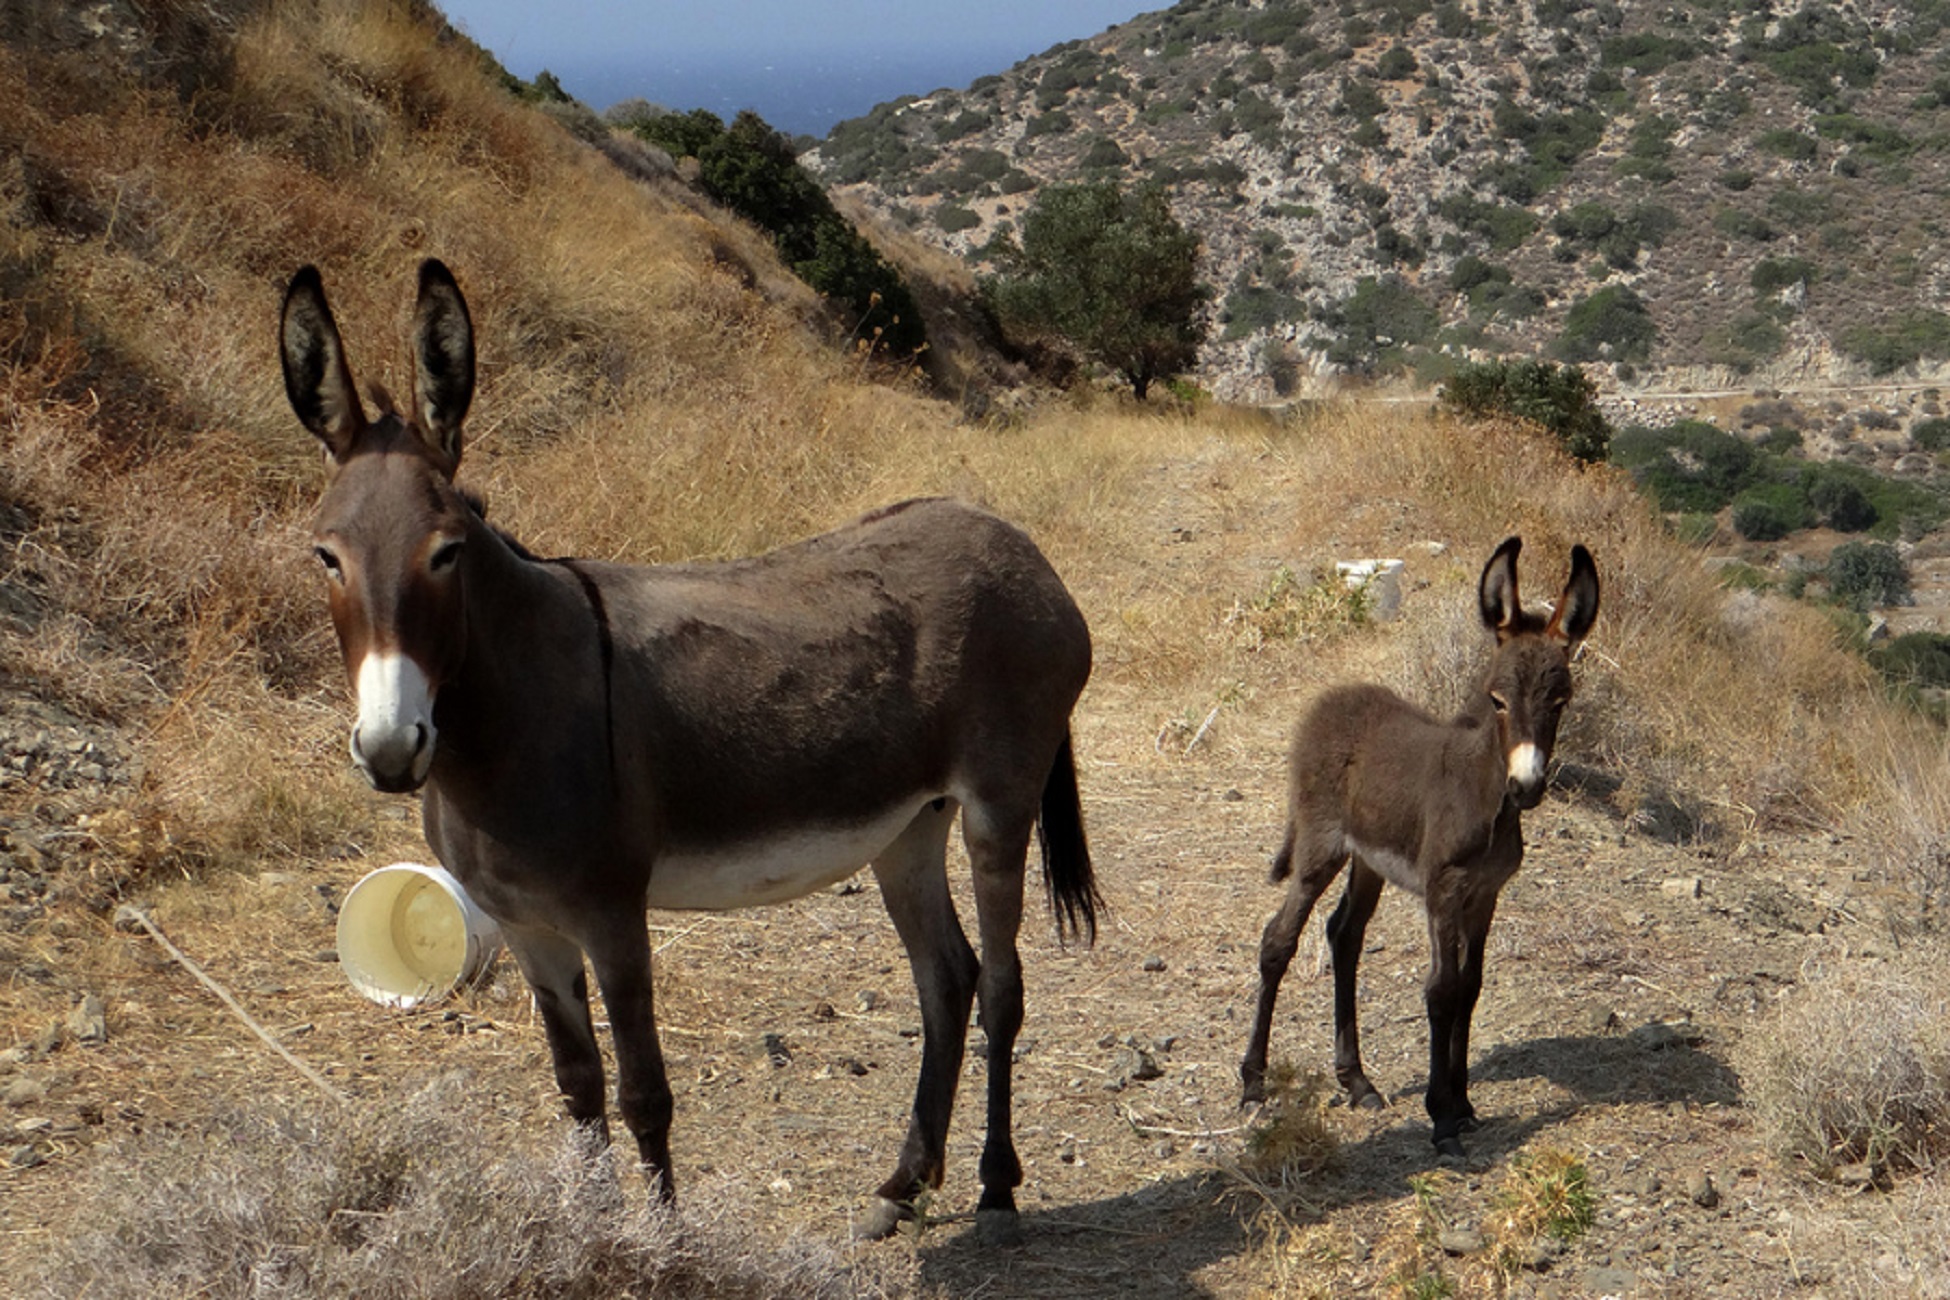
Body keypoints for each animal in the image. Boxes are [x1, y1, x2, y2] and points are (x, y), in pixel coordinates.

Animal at [1240, 537, 1591, 1161]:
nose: (1526, 787)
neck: (1485, 794)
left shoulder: (1485, 894)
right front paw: (1442, 1117)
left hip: (1367, 860)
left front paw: (1465, 1103)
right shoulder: (1443, 890)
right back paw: (1253, 1084)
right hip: (1320, 848)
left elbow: (1470, 988)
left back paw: (1356, 1081)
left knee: (1344, 935)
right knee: (1278, 939)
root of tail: (1332, 699)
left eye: (1560, 701)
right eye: (1497, 700)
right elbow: (1441, 989)